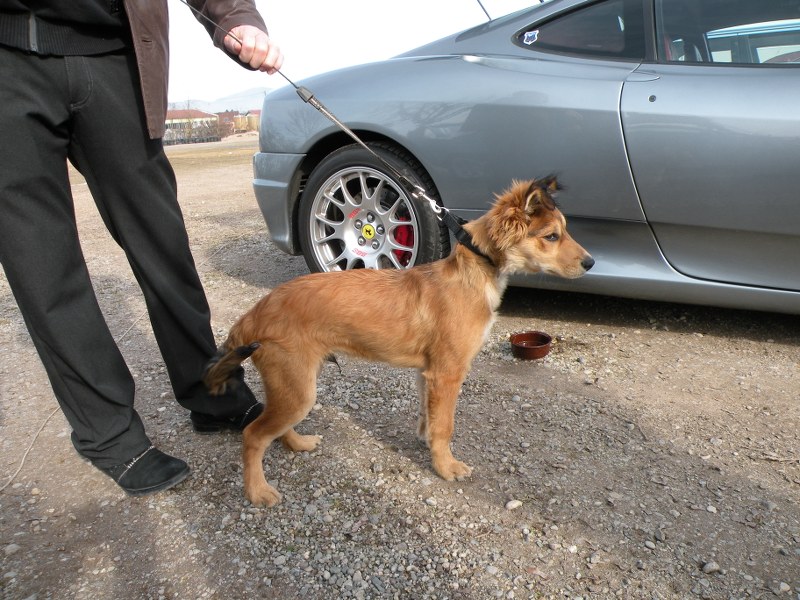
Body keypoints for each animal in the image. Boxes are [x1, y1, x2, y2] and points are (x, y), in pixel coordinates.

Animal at [206, 178, 592, 506]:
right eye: (552, 236)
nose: (590, 263)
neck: (473, 272)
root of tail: (256, 311)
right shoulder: (448, 373)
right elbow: (445, 425)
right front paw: (446, 467)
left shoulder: (428, 373)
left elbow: (427, 415)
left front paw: (428, 443)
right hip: (297, 389)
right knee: (254, 435)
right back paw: (257, 491)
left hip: (295, 385)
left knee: (274, 427)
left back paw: (298, 443)